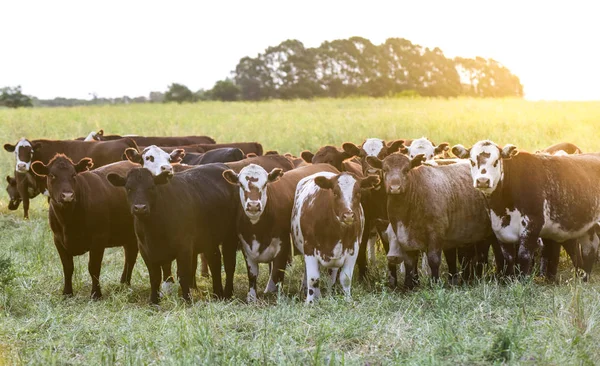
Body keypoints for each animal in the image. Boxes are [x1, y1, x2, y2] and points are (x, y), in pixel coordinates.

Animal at [31, 156, 138, 298]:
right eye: (52, 175)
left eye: (73, 175)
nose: (67, 196)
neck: (69, 222)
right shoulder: (58, 240)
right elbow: (68, 267)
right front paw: (67, 293)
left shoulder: (99, 238)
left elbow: (94, 267)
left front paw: (96, 294)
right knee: (130, 255)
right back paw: (123, 283)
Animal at [108, 166, 239, 304]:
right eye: (129, 188)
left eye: (151, 187)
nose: (140, 208)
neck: (153, 230)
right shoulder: (145, 250)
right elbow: (154, 277)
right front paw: (153, 301)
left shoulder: (184, 247)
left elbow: (183, 274)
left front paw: (187, 300)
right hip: (209, 240)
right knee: (215, 262)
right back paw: (217, 294)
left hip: (230, 236)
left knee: (229, 264)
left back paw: (227, 294)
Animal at [223, 164, 340, 302]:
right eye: (241, 184)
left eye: (265, 184)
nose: (253, 205)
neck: (257, 230)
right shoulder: (246, 247)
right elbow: (252, 274)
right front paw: (252, 297)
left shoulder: (283, 248)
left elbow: (277, 273)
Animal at [292, 172, 380, 304]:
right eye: (335, 193)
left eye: (358, 192)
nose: (348, 215)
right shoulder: (309, 248)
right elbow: (313, 278)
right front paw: (310, 302)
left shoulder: (353, 249)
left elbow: (345, 278)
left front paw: (348, 300)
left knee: (331, 277)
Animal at [368, 152, 500, 288]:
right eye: (385, 170)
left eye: (406, 170)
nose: (395, 188)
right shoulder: (403, 236)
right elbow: (409, 261)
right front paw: (409, 286)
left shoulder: (436, 233)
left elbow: (433, 260)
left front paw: (435, 282)